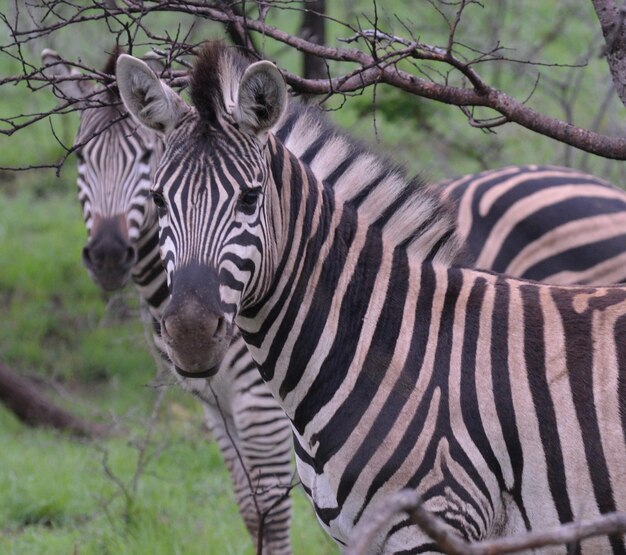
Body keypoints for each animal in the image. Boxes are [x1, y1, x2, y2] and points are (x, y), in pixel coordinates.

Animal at [42, 48, 292, 555]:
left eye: (144, 156)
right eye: (81, 156)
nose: (108, 255)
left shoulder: (263, 407)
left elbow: (273, 518)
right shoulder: (216, 405)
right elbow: (249, 510)